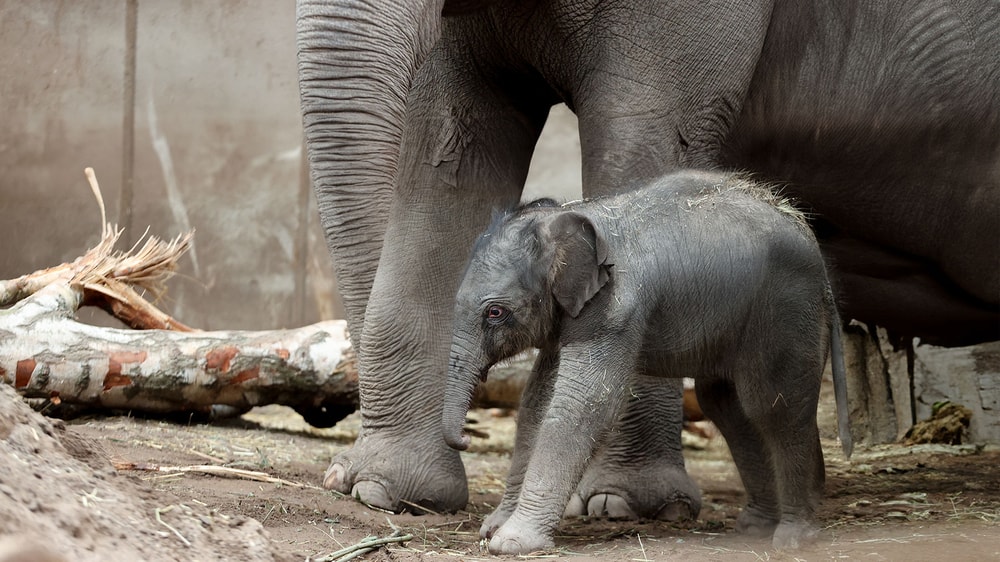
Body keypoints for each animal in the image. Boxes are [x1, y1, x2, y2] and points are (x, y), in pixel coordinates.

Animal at [442, 168, 848, 552]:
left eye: (495, 312)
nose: (466, 438)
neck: (573, 213)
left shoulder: (613, 309)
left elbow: (584, 405)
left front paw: (511, 542)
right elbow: (536, 404)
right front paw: (494, 528)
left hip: (785, 308)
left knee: (774, 406)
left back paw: (794, 536)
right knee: (729, 405)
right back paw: (757, 527)